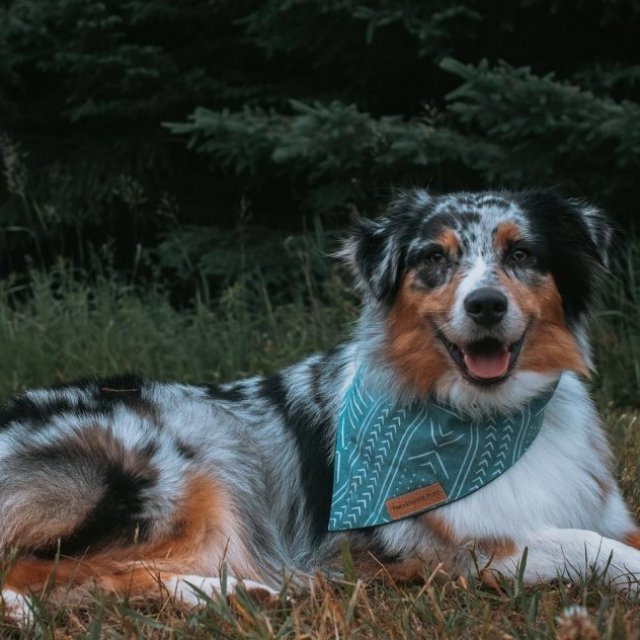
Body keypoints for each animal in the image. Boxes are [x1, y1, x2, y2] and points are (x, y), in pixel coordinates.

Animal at [1, 186, 640, 624]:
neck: (489, 416)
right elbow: (588, 545)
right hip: (158, 466)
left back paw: (240, 592)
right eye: (434, 258)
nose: (485, 305)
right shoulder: (467, 549)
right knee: (39, 572)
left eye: (523, 254)